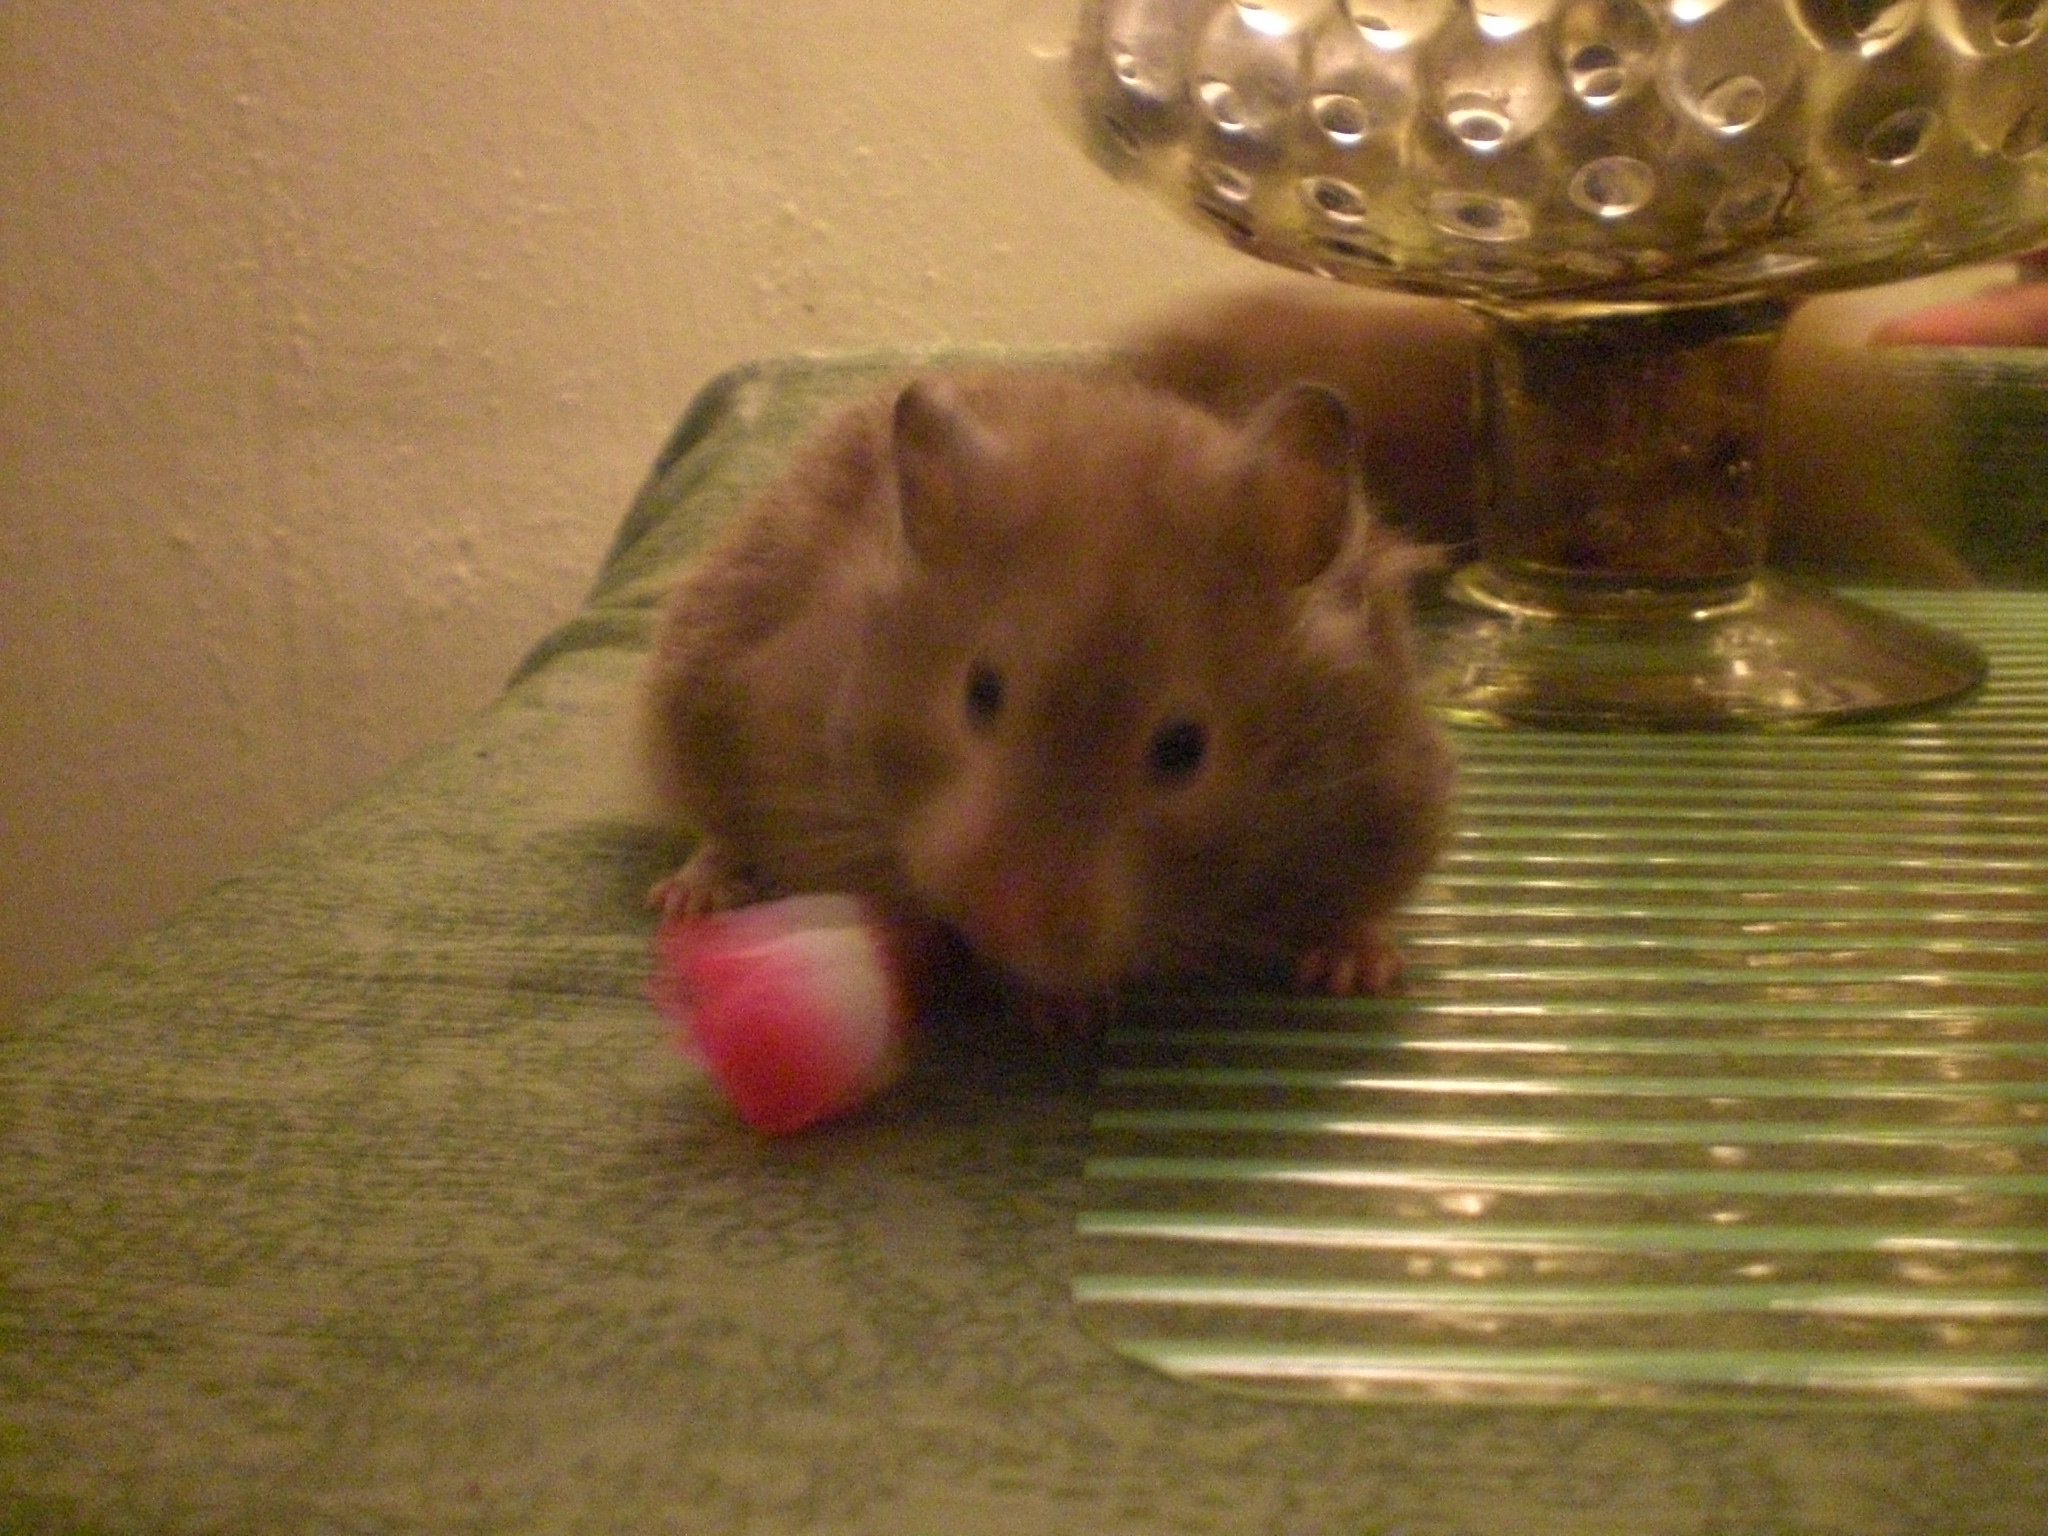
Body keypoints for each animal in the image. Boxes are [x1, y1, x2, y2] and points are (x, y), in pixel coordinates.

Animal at [638, 362, 1458, 1011]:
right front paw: (1056, 1009)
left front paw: (1357, 973)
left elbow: (1361, 906)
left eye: (1184, 748)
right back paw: (689, 899)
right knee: (714, 825)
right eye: (980, 692)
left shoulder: (1392, 786)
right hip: (693, 687)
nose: (1002, 914)